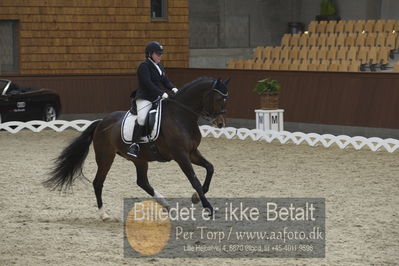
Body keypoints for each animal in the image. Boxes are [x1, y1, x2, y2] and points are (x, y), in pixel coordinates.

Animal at [42, 77, 230, 220]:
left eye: (226, 99)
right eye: (218, 99)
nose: (220, 124)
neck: (181, 116)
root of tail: (101, 122)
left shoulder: (192, 153)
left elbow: (210, 168)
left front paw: (196, 197)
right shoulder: (181, 155)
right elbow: (194, 180)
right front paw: (208, 208)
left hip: (140, 159)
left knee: (142, 182)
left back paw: (166, 204)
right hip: (106, 157)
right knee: (98, 182)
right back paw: (104, 214)